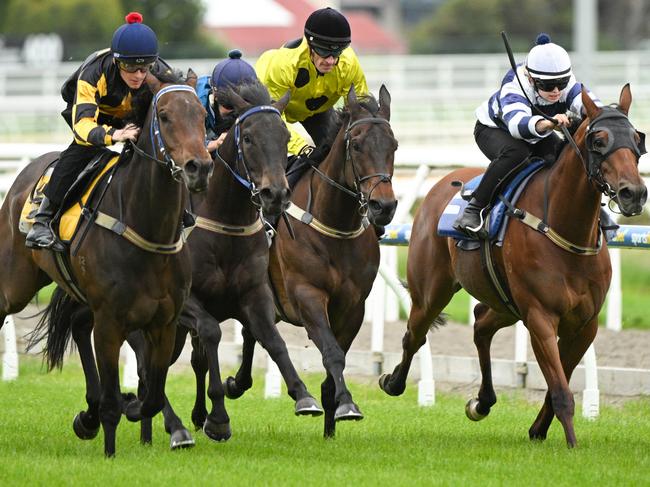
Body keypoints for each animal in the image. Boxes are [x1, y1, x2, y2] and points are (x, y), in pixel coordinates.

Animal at [0, 68, 213, 458]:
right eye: (164, 117)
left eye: (202, 116)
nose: (199, 168)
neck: (148, 228)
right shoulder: (112, 321)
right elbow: (119, 398)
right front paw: (111, 446)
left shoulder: (164, 321)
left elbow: (152, 396)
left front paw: (119, 410)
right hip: (15, 285)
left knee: (79, 323)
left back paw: (90, 414)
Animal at [220, 85, 398, 438]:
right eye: (357, 145)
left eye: (394, 145)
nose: (383, 206)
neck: (335, 228)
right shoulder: (307, 295)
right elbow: (331, 353)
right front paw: (347, 404)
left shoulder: (353, 306)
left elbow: (335, 360)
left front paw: (333, 419)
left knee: (251, 333)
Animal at [378, 86, 644, 448]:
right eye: (598, 140)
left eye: (637, 138)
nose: (634, 193)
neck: (564, 227)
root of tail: (444, 182)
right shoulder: (540, 317)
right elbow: (561, 390)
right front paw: (571, 444)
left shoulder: (584, 323)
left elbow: (558, 383)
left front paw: (538, 430)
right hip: (432, 292)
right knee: (414, 334)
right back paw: (393, 382)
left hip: (505, 302)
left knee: (480, 325)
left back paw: (482, 402)